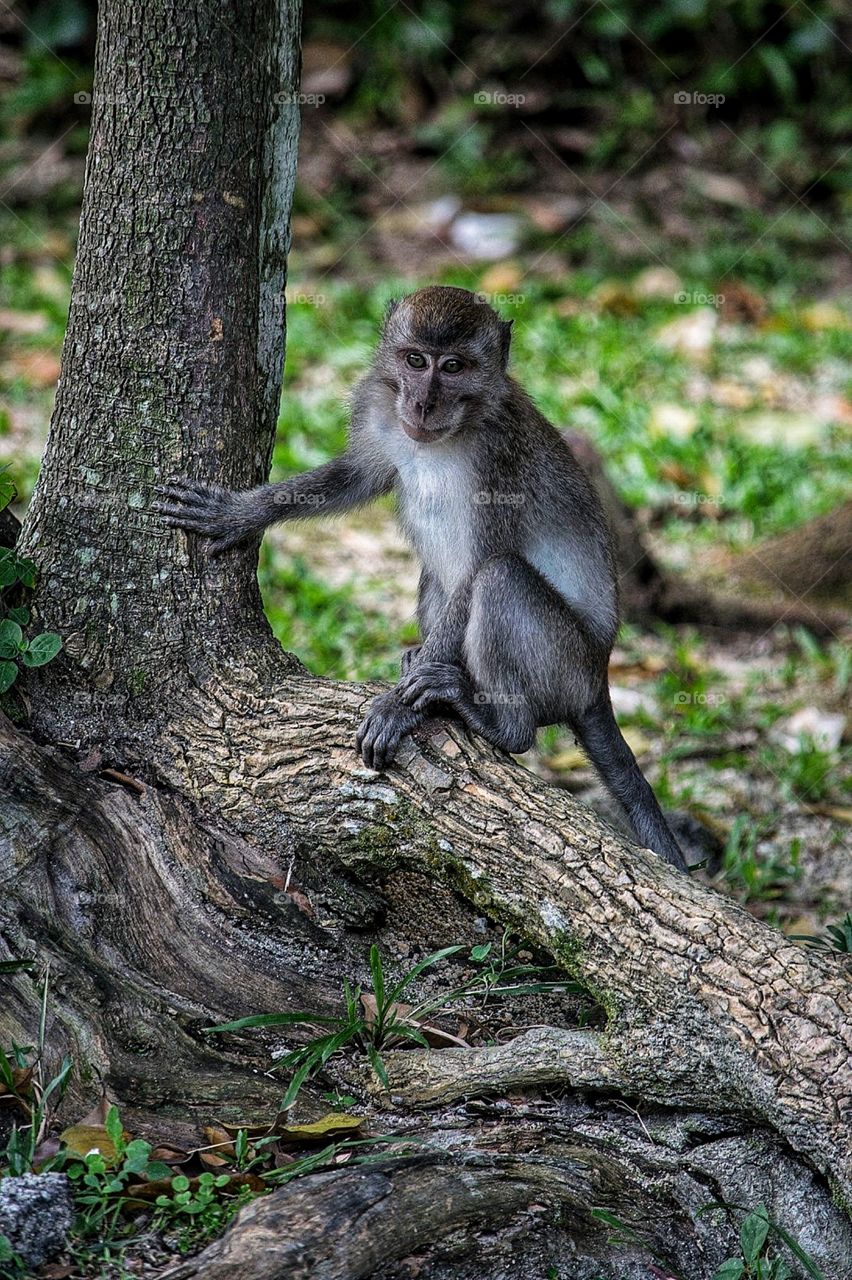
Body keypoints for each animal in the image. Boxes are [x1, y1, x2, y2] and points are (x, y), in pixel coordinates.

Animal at [156, 286, 688, 871]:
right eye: (415, 361)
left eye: (452, 367)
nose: (422, 403)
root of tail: (599, 676)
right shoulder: (377, 404)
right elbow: (356, 477)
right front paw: (243, 514)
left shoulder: (499, 458)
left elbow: (483, 563)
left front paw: (395, 706)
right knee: (437, 575)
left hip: (565, 663)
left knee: (498, 577)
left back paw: (499, 723)